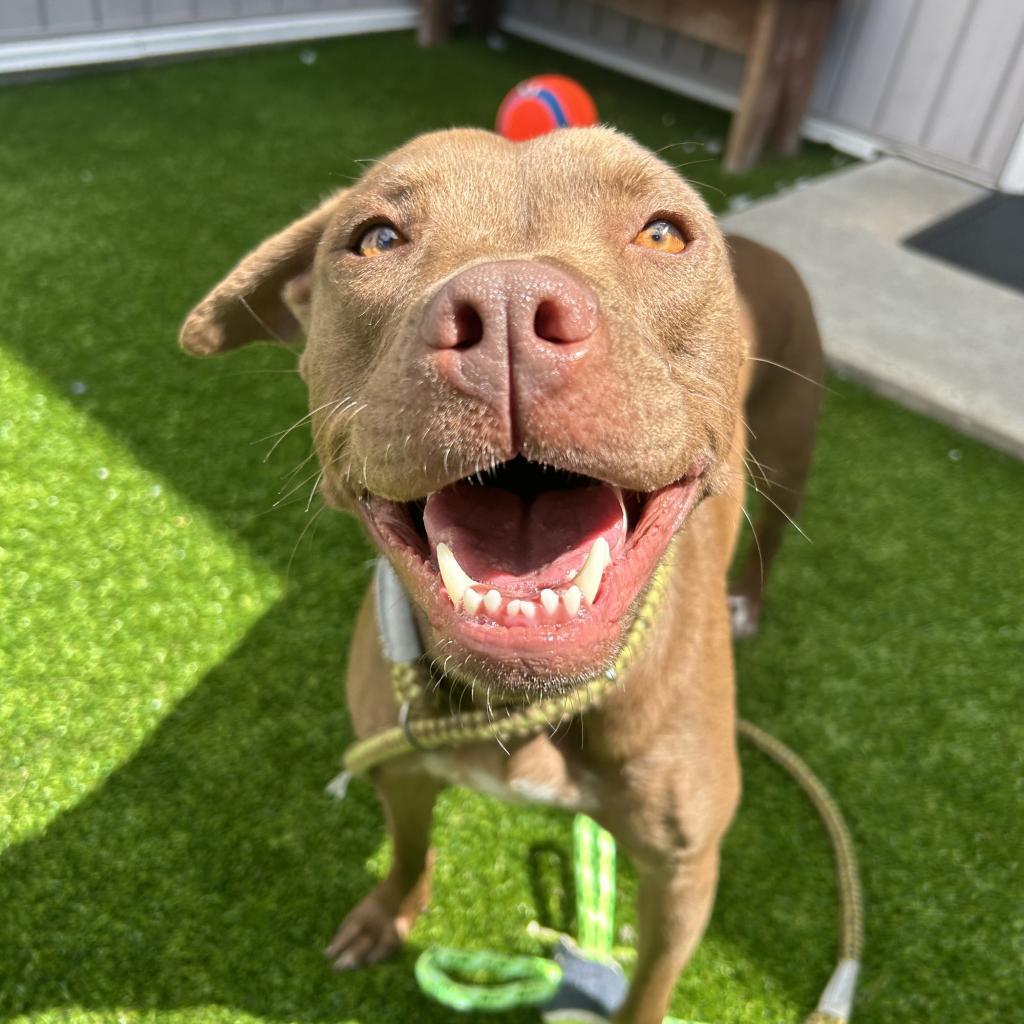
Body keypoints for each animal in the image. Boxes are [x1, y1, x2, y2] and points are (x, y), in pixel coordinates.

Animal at [182, 128, 823, 1024]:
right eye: (376, 238)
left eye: (664, 233)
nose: (511, 309)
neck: (528, 708)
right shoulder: (398, 764)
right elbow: (410, 849)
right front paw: (388, 914)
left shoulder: (684, 873)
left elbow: (649, 989)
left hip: (793, 458)